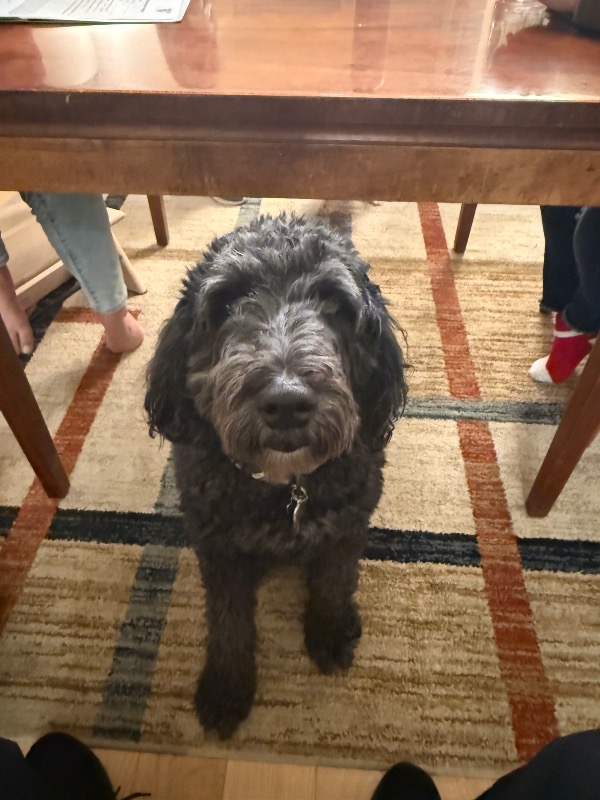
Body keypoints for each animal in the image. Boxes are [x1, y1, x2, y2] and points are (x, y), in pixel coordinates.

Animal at [145, 213, 407, 738]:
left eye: (334, 302)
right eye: (227, 303)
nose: (287, 402)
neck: (286, 486)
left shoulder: (346, 529)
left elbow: (333, 581)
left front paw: (330, 631)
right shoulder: (219, 549)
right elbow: (228, 619)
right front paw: (226, 686)